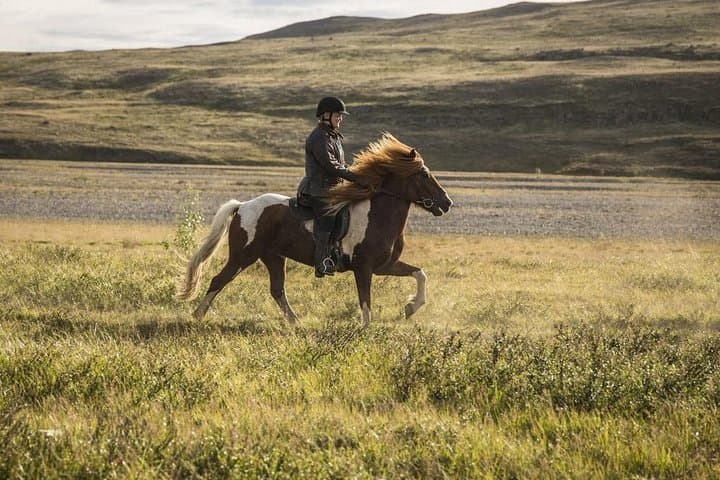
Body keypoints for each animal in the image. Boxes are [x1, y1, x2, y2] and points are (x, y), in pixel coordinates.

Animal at [176, 133, 453, 325]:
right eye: (424, 175)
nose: (447, 203)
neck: (378, 216)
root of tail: (242, 206)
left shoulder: (385, 265)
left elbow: (420, 273)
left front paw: (411, 307)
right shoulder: (364, 267)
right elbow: (365, 301)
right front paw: (367, 329)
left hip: (273, 256)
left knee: (277, 290)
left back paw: (295, 323)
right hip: (243, 255)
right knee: (219, 279)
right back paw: (197, 315)